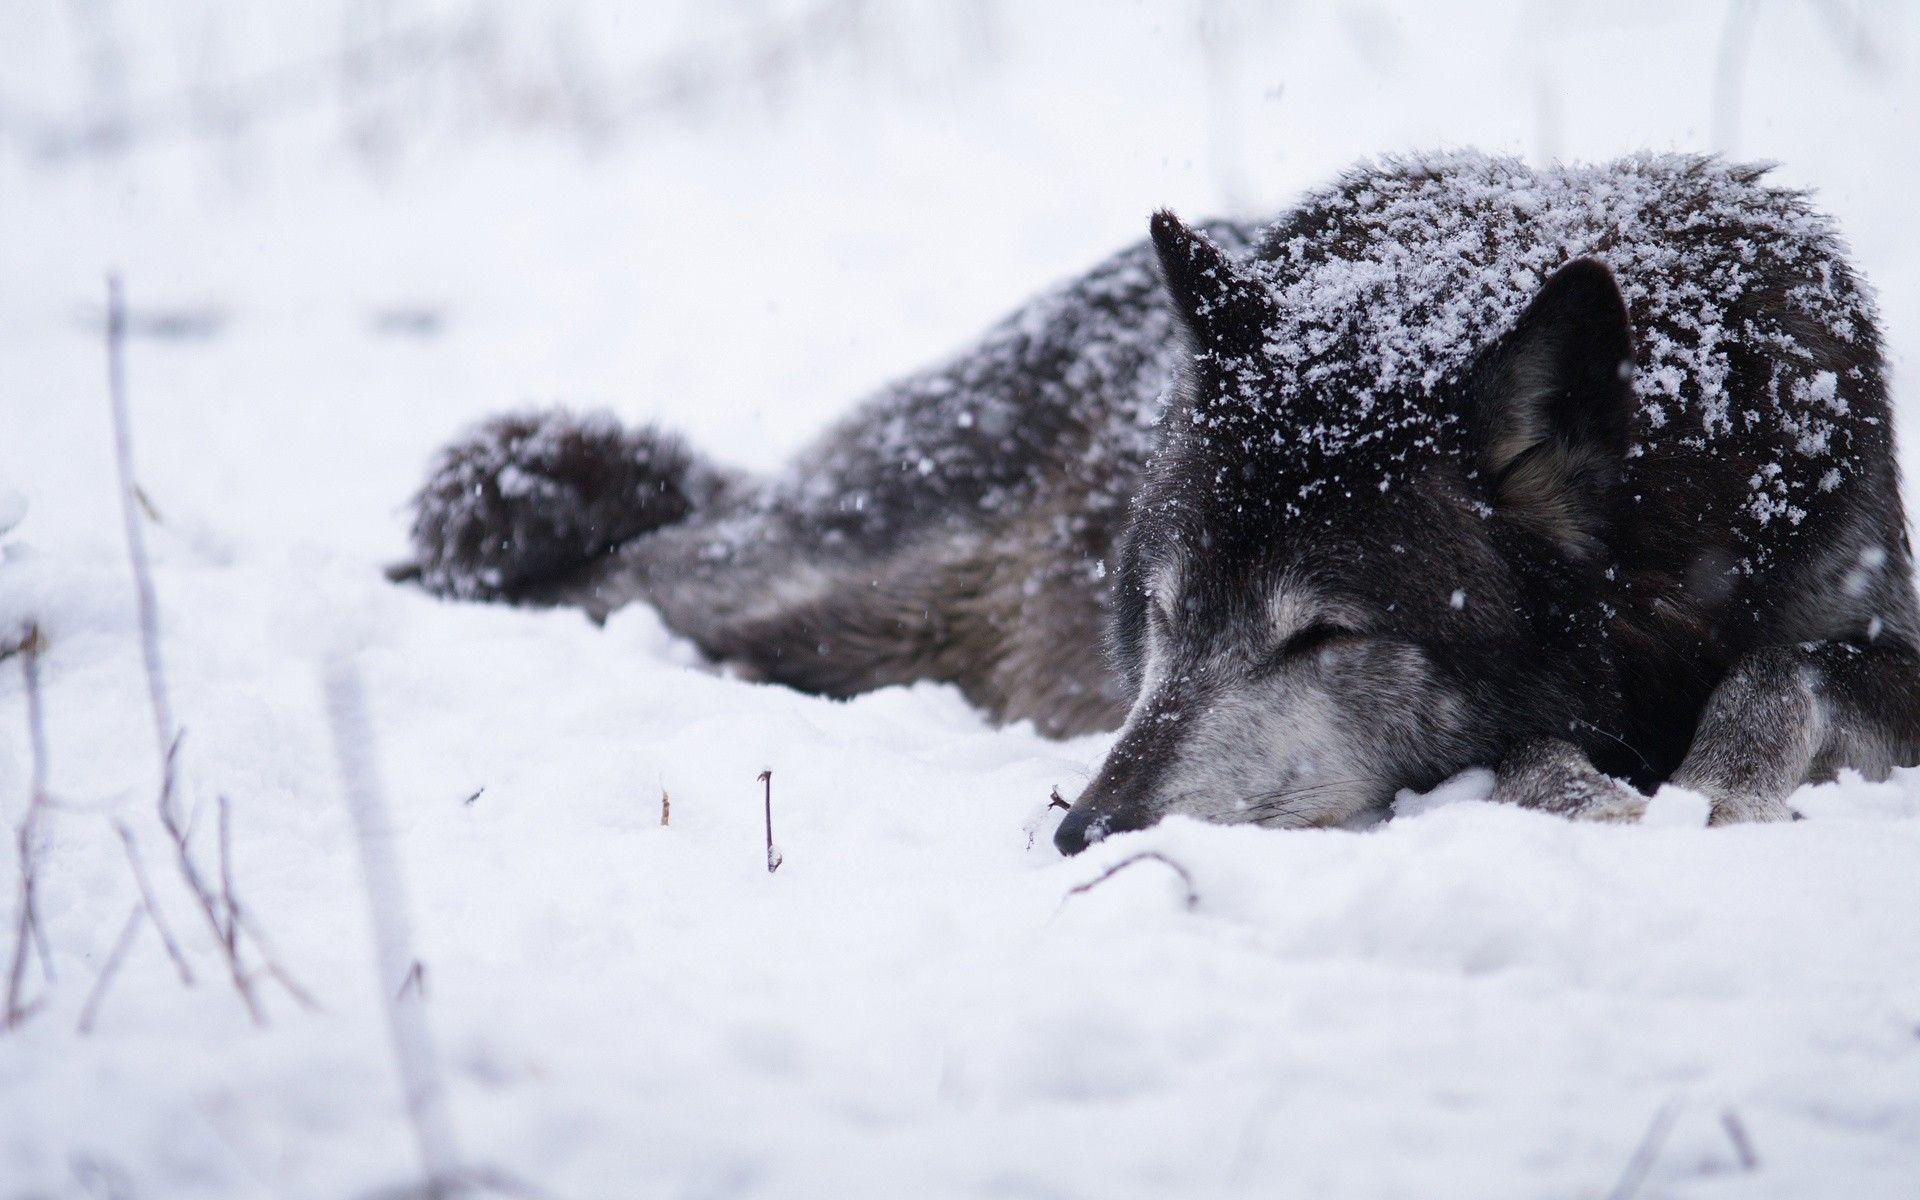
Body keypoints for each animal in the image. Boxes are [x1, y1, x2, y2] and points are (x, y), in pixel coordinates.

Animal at [394, 153, 1920, 855]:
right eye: (1168, 617)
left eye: (1324, 636)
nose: (1081, 834)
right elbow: (1541, 748)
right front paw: (1606, 795)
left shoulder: (1861, 614)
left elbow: (1791, 663)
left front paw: (1714, 780)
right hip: (813, 585)